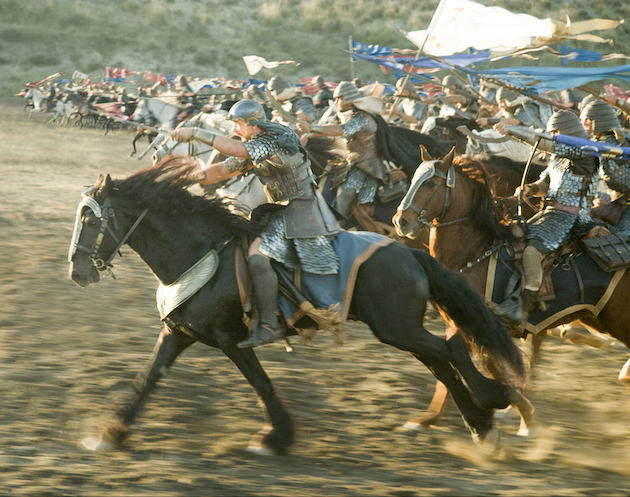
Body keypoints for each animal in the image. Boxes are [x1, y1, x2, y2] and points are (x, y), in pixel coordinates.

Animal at [68, 156, 528, 454]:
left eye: (91, 220)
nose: (77, 271)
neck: (202, 253)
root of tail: (408, 252)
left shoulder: (231, 341)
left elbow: (262, 385)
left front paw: (276, 438)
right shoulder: (178, 334)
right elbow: (148, 378)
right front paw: (111, 432)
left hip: (396, 327)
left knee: (448, 350)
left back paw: (492, 401)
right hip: (400, 329)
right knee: (440, 360)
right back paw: (480, 425)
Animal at [396, 148, 630, 434]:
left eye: (430, 184)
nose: (401, 221)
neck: (475, 253)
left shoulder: (488, 330)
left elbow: (494, 370)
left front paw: (524, 419)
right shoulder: (459, 327)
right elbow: (452, 365)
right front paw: (427, 419)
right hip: (597, 318)